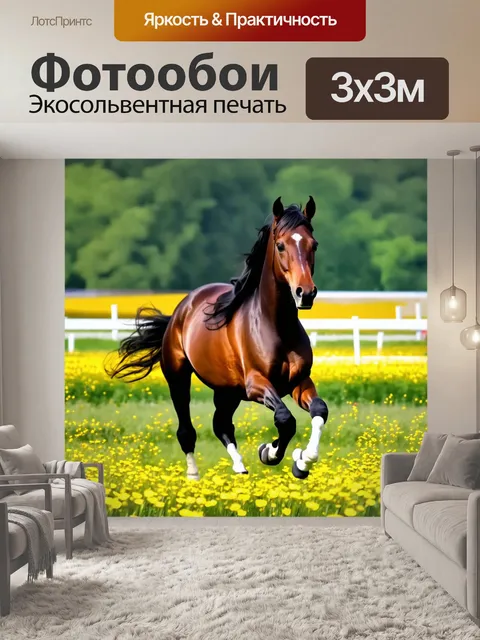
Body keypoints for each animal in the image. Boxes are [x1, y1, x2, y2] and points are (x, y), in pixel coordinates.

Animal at [107, 196, 329, 481]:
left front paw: (302, 461)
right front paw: (269, 452)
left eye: (314, 244)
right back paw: (194, 475)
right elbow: (285, 419)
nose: (306, 293)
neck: (277, 326)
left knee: (221, 424)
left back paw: (240, 467)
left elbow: (319, 410)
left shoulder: (298, 381)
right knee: (187, 430)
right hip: (179, 379)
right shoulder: (256, 384)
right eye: (280, 245)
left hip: (227, 391)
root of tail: (182, 308)